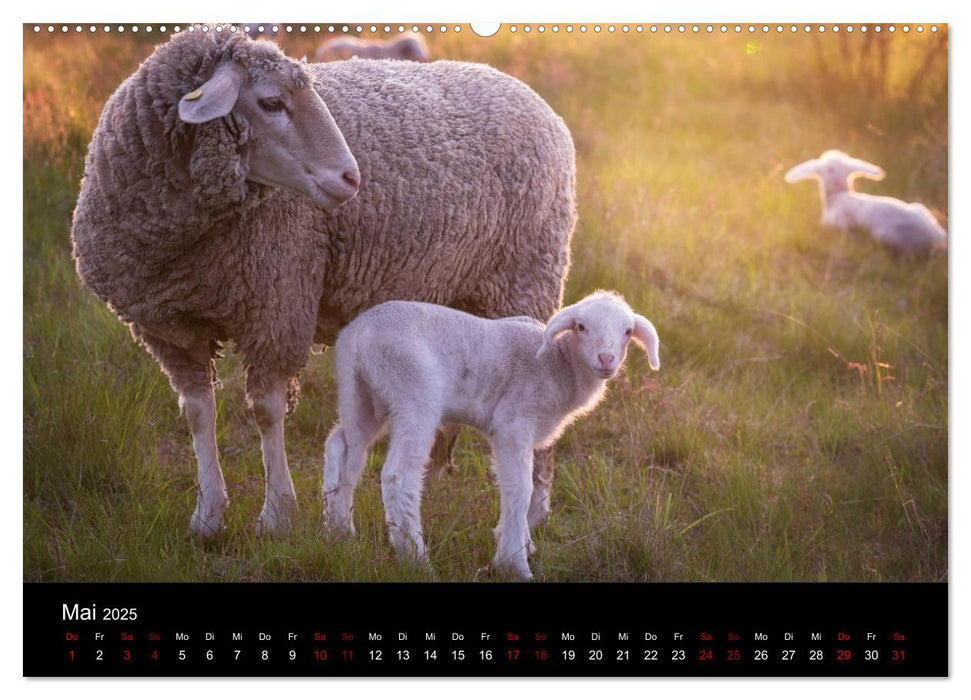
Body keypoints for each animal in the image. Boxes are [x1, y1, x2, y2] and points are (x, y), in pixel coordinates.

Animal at [76, 27, 576, 540]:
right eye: (271, 102)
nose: (351, 177)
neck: (186, 246)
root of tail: (533, 98)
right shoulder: (169, 329)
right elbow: (197, 412)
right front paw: (208, 514)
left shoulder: (279, 304)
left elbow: (266, 411)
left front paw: (277, 513)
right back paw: (435, 482)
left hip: (526, 276)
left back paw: (534, 512)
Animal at [322, 290, 664, 580]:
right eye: (581, 327)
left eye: (627, 331)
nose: (606, 359)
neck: (558, 365)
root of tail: (359, 336)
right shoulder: (513, 423)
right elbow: (521, 488)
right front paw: (514, 563)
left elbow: (524, 484)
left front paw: (524, 543)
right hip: (413, 391)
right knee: (397, 476)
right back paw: (416, 561)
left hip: (360, 393)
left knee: (344, 450)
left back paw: (339, 533)